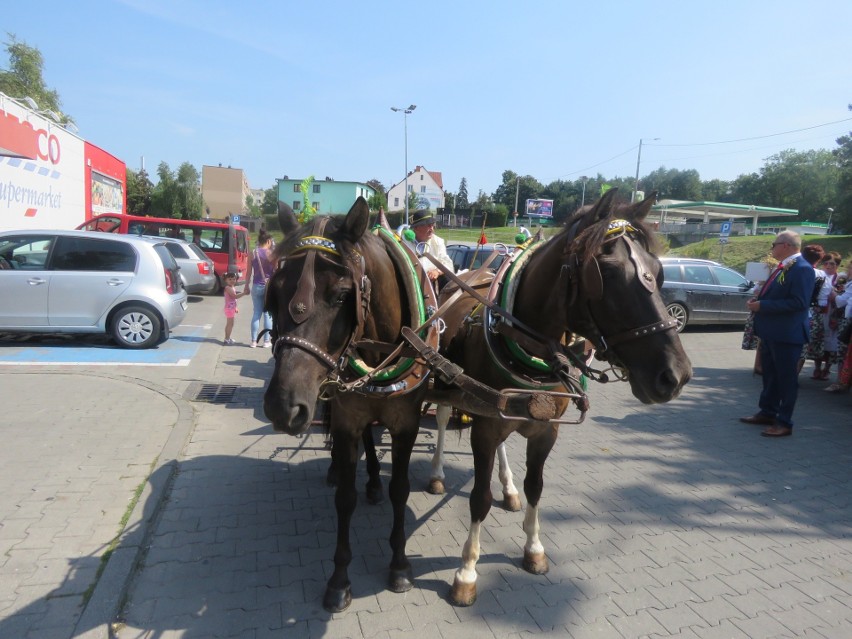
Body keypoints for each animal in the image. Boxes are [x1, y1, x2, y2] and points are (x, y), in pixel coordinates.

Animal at [264, 196, 440, 616]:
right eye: (274, 295)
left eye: (342, 296)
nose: (282, 407)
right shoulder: (346, 420)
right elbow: (344, 499)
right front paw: (339, 580)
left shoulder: (406, 423)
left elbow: (400, 490)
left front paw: (399, 565)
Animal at [430, 189, 696, 604]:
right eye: (607, 274)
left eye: (658, 269)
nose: (676, 375)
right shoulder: (485, 429)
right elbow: (478, 498)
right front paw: (467, 571)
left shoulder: (545, 431)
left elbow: (536, 488)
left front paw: (534, 548)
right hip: (447, 383)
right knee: (443, 419)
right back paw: (438, 473)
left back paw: (507, 486)